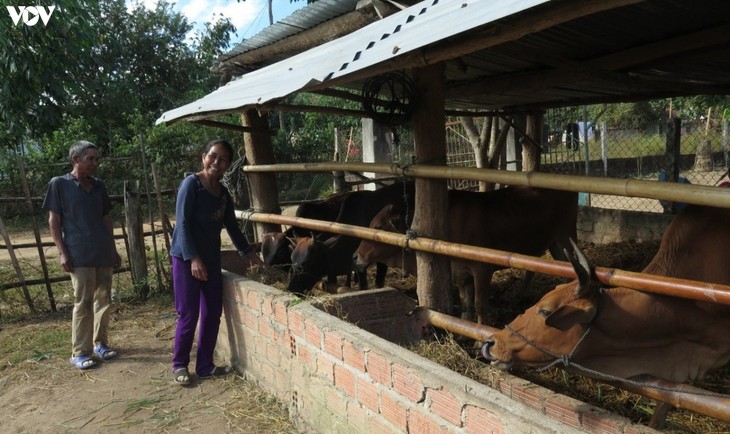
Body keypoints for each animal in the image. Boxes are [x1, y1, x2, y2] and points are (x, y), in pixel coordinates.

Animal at [350, 186, 576, 326]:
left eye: (378, 227)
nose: (355, 257)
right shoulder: (461, 275)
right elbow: (466, 304)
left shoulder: (482, 269)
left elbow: (479, 304)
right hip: (554, 245)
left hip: (566, 238)